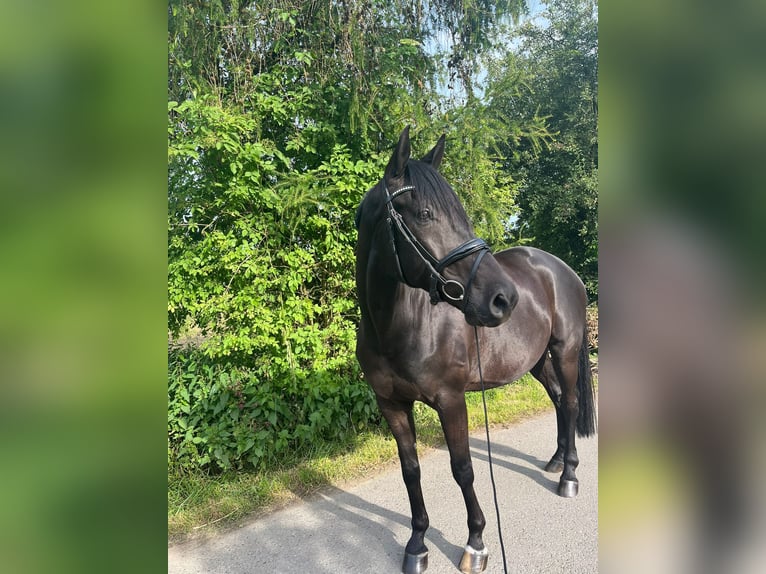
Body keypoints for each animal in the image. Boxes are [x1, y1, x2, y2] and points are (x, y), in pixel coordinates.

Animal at [356, 128, 600, 572]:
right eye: (425, 214)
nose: (505, 298)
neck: (398, 328)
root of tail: (563, 269)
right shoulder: (391, 405)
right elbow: (410, 471)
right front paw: (417, 544)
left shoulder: (451, 401)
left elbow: (463, 468)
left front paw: (476, 542)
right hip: (537, 361)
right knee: (559, 400)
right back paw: (557, 460)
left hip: (565, 351)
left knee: (572, 403)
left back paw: (569, 477)